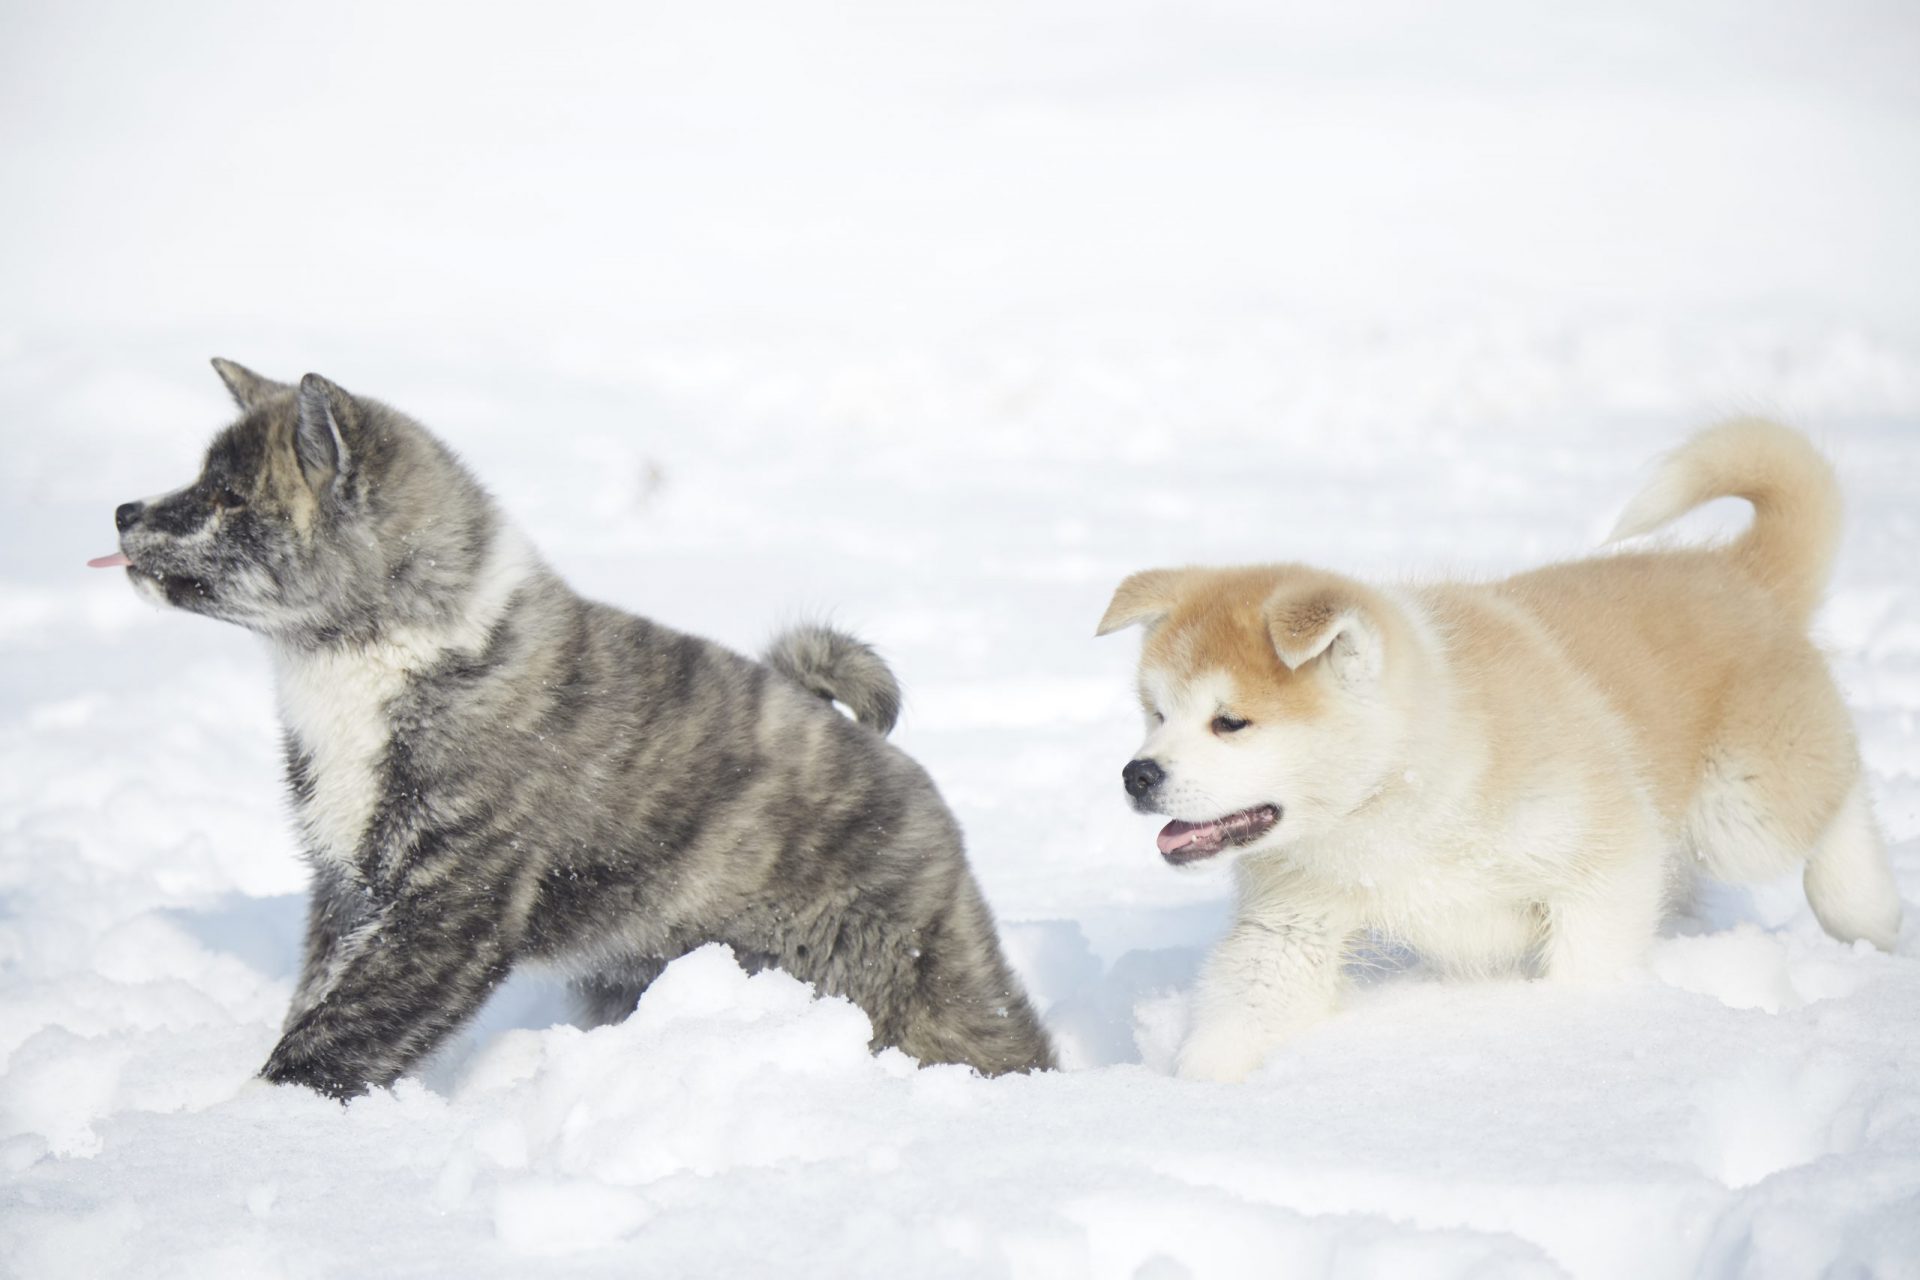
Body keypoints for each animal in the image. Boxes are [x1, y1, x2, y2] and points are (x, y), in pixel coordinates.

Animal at [97, 355, 1059, 1097]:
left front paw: (262, 1117)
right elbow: (320, 998)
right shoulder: (351, 893)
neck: (377, 652)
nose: (121, 512)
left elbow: (341, 1027)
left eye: (228, 496)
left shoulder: (451, 904)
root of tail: (893, 769)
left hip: (912, 979)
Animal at [1105, 420, 1896, 1082]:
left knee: (1839, 789)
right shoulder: (1290, 926)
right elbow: (1239, 1021)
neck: (1400, 799)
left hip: (1741, 811)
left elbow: (1584, 972)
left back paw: (1864, 910)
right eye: (1156, 713)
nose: (1136, 775)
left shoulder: (1604, 866)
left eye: (1230, 722)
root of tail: (1740, 574)